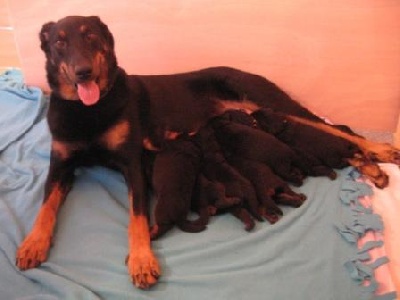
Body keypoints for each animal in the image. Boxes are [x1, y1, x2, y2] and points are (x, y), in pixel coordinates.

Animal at [15, 15, 400, 288]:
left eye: (91, 37)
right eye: (59, 42)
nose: (83, 73)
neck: (88, 110)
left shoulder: (132, 165)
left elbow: (136, 218)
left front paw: (142, 260)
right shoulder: (60, 164)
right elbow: (46, 205)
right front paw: (33, 244)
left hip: (272, 102)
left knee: (339, 129)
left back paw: (381, 150)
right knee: (336, 136)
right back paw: (369, 166)